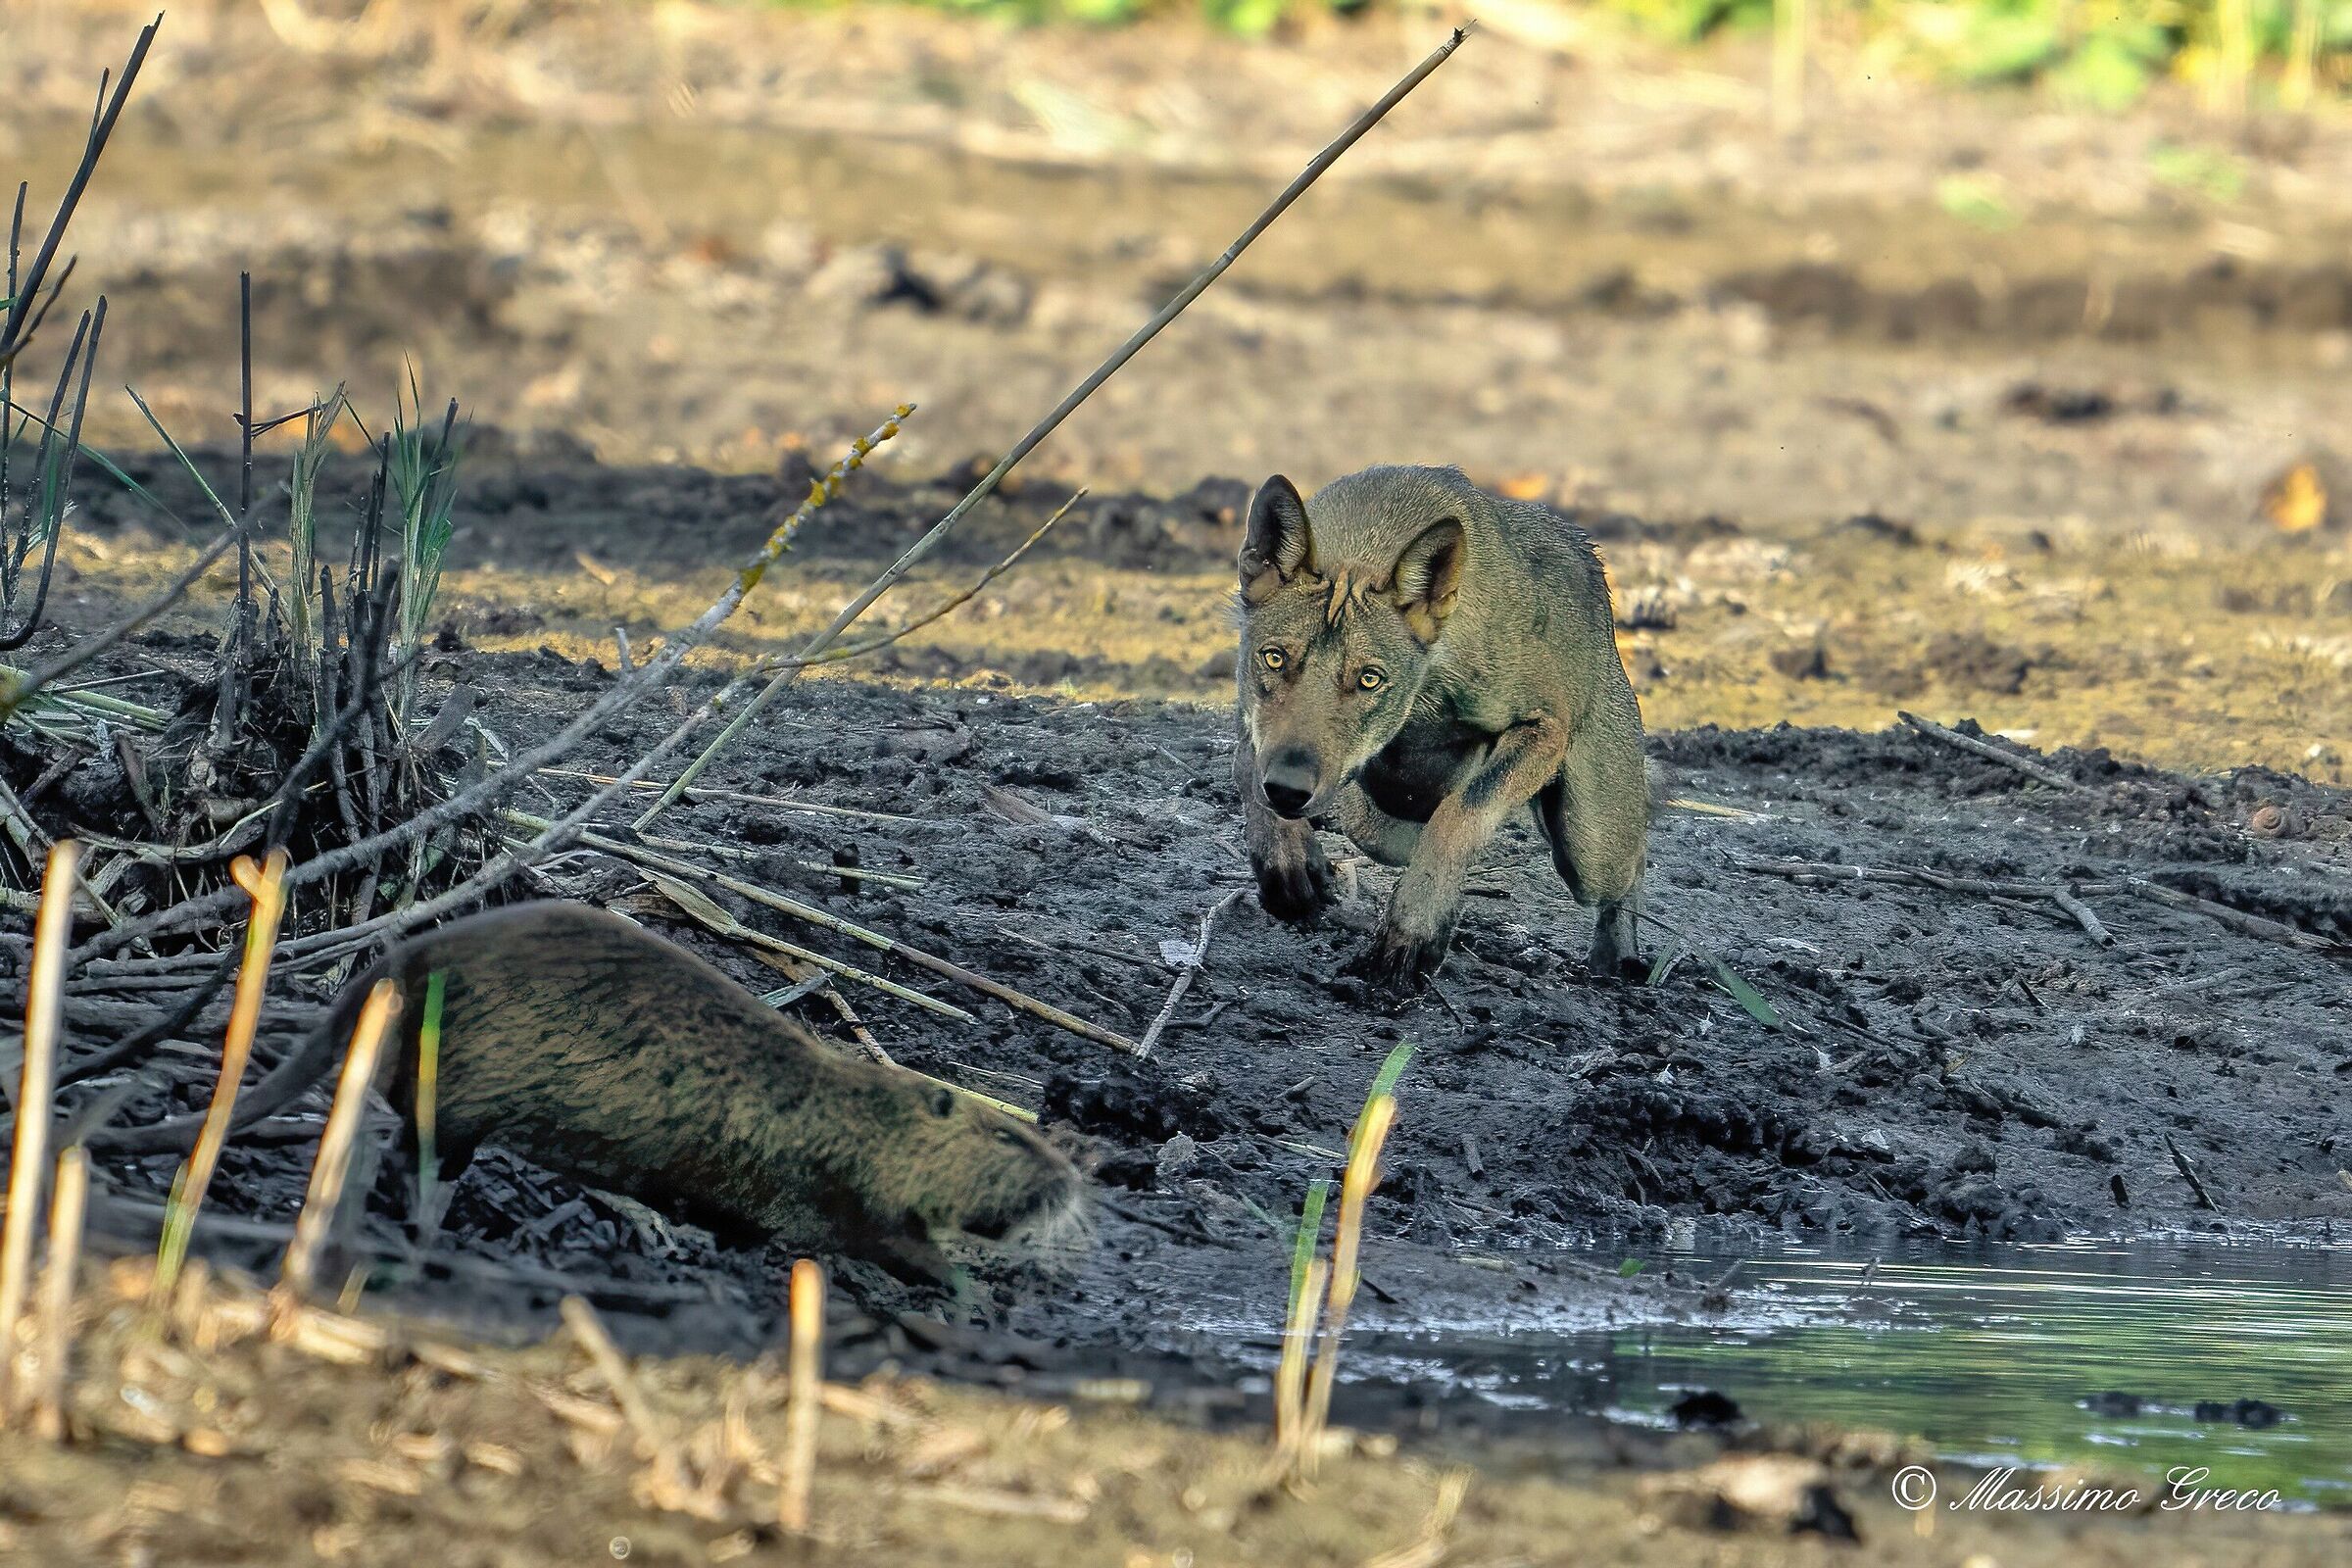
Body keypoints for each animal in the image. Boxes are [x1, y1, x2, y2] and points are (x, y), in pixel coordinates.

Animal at [1232, 464, 1649, 994]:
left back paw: (1620, 957)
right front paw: (1288, 864)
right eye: (1274, 658)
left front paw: (1412, 934)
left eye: (1370, 679)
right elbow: (1248, 764)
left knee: (1635, 857)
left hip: (1591, 850)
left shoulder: (1542, 730)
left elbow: (1457, 817)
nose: (1288, 789)